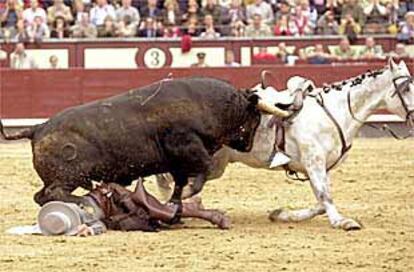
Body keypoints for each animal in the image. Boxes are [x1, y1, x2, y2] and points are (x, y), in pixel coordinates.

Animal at [0, 76, 262, 206]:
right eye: (255, 118)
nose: (248, 146)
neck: (208, 105)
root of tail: (38, 128)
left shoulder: (177, 162)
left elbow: (180, 183)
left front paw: (173, 203)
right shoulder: (189, 147)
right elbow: (202, 171)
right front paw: (186, 195)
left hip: (59, 177)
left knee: (41, 196)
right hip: (69, 176)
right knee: (55, 193)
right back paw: (82, 200)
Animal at [157, 58, 412, 231]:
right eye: (406, 87)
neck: (334, 112)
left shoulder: (319, 168)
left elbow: (320, 201)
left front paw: (281, 214)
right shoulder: (313, 162)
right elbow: (325, 196)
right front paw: (342, 221)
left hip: (216, 164)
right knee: (170, 177)